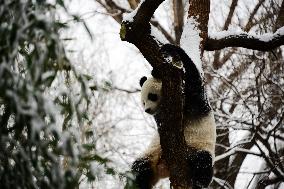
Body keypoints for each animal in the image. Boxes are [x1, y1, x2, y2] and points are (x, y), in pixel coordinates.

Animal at [132, 44, 216, 189]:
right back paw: (140, 183)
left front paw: (171, 50)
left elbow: (194, 81)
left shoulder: (196, 104)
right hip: (152, 153)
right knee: (140, 167)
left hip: (198, 147)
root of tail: (163, 169)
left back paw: (199, 183)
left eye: (151, 96)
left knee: (203, 162)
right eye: (143, 102)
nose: (147, 110)